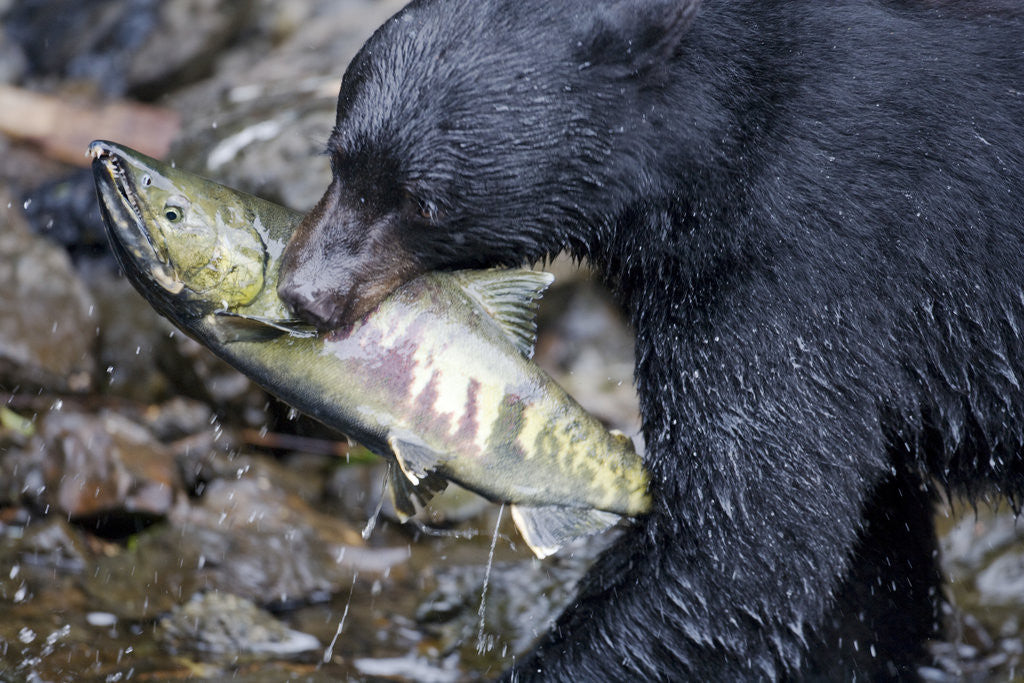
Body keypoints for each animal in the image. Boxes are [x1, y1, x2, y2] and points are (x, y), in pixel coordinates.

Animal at [277, 0, 1024, 679]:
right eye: (337, 160)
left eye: (422, 202)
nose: (303, 291)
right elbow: (865, 561)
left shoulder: (803, 267)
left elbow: (740, 544)